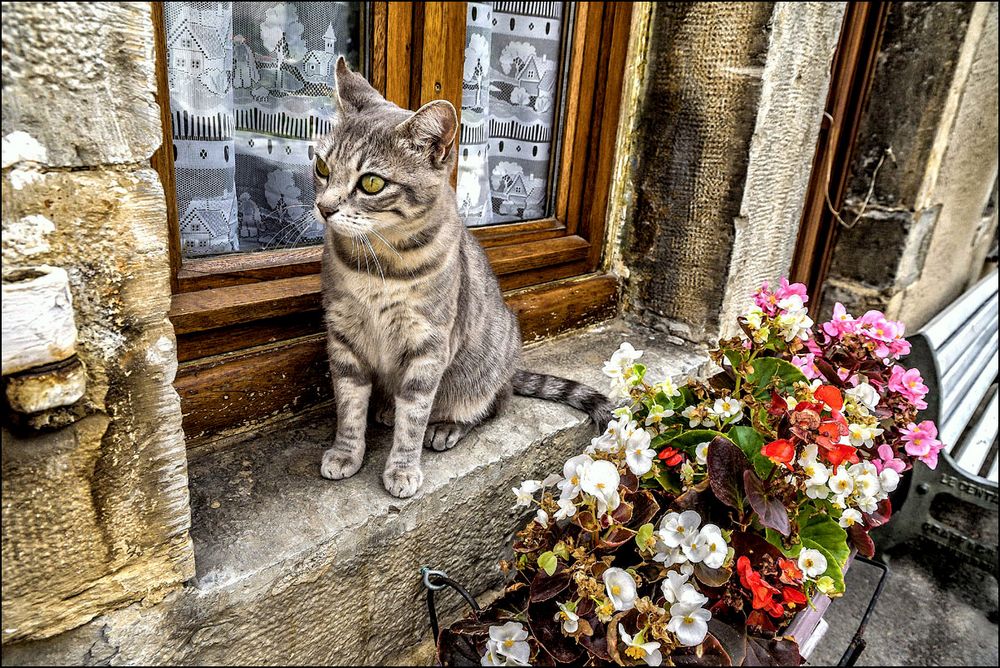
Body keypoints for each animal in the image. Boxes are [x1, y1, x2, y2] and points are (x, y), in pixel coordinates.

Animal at [314, 58, 608, 496]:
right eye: (322, 167)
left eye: (371, 183)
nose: (324, 206)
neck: (378, 264)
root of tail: (510, 373)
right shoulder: (343, 338)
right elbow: (349, 406)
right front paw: (346, 453)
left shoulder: (429, 345)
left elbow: (414, 417)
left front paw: (402, 468)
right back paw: (385, 409)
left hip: (483, 370)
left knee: (492, 406)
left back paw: (447, 427)